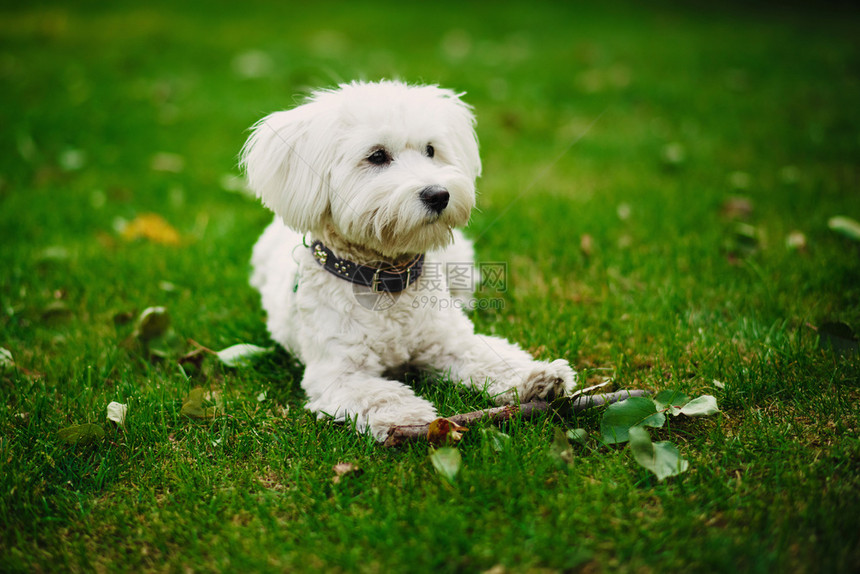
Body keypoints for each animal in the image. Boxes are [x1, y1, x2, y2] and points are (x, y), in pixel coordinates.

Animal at [242, 80, 576, 440]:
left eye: (430, 150)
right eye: (376, 156)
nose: (439, 194)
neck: (387, 279)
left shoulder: (449, 341)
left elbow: (490, 356)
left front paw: (538, 376)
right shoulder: (337, 373)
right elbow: (379, 394)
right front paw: (406, 415)